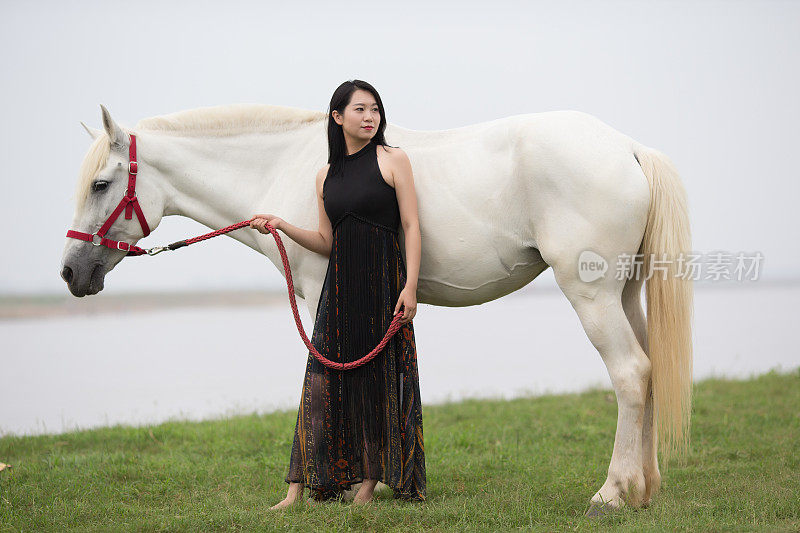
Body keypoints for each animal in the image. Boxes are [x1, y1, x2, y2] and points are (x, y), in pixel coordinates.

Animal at [61, 102, 692, 512]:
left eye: (100, 184)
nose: (70, 273)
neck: (290, 164)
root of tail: (629, 148)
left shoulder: (320, 291)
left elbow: (327, 373)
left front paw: (322, 488)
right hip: (624, 293)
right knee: (649, 373)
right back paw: (644, 490)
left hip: (591, 295)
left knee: (630, 374)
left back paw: (611, 494)